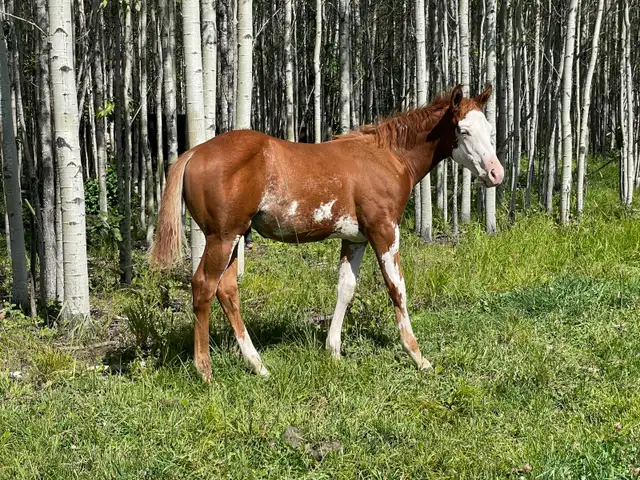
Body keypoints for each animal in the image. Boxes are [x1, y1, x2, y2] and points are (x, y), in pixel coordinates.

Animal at [150, 84, 504, 382]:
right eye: (463, 130)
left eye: (489, 130)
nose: (495, 173)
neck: (388, 156)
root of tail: (193, 153)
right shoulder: (384, 231)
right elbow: (397, 290)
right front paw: (418, 357)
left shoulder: (355, 238)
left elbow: (345, 288)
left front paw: (333, 352)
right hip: (222, 237)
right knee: (203, 287)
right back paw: (205, 371)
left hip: (235, 237)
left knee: (226, 290)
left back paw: (258, 365)